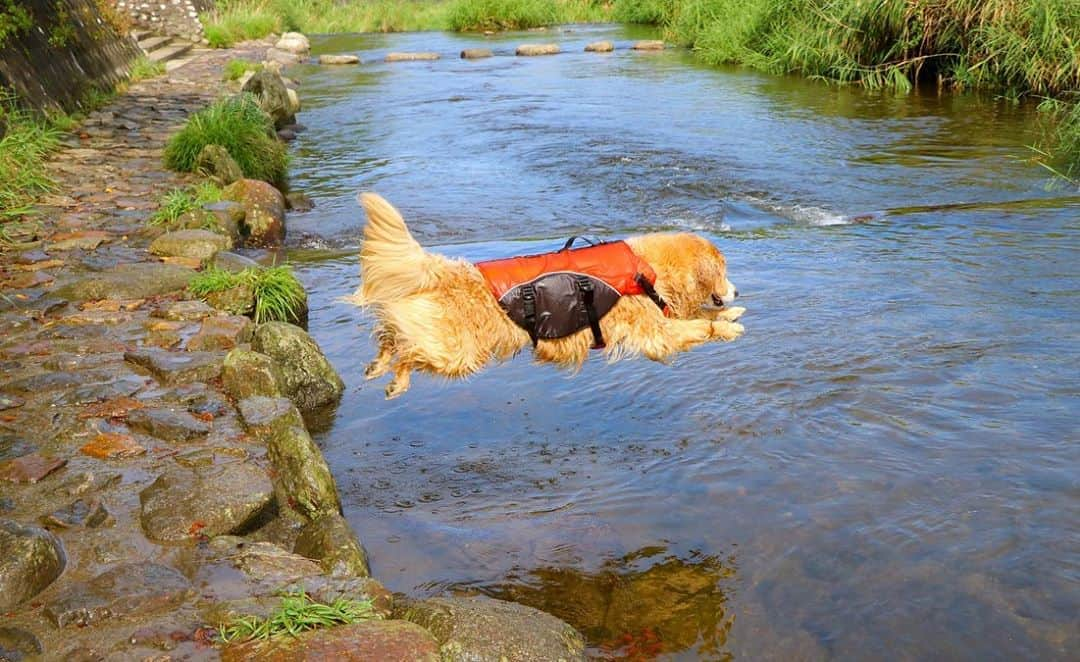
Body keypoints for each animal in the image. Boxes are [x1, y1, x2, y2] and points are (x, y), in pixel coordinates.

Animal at [345, 191, 743, 397]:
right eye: (723, 269)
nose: (737, 290)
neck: (648, 269)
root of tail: (446, 269)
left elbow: (701, 316)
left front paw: (729, 315)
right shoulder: (656, 333)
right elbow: (698, 327)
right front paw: (728, 327)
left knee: (392, 333)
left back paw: (378, 365)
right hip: (458, 353)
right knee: (407, 348)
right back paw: (396, 379)